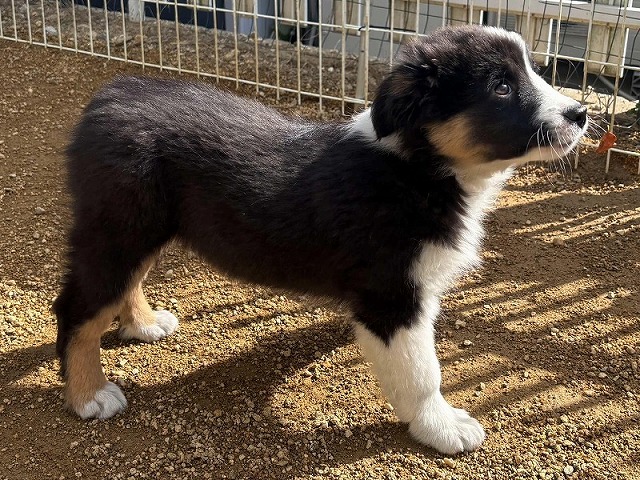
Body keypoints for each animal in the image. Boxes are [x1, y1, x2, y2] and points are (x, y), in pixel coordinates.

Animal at [54, 25, 587, 455]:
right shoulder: (390, 296)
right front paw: (441, 426)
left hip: (143, 228)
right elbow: (421, 371)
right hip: (120, 226)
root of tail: (111, 96)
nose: (580, 113)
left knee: (124, 284)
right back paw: (89, 395)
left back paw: (143, 323)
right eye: (502, 87)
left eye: (534, 71)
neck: (420, 170)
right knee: (77, 308)